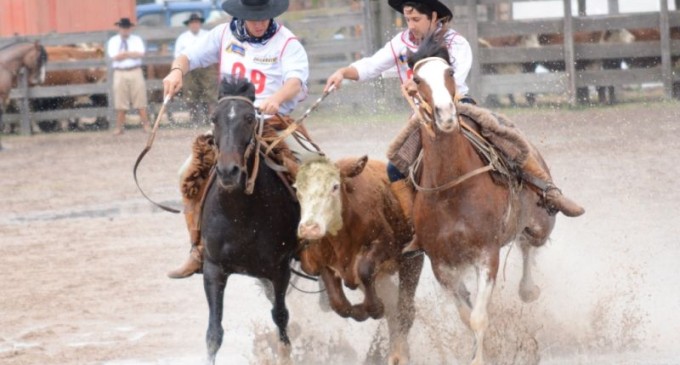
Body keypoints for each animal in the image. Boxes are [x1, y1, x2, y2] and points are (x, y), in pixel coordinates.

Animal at [199, 77, 300, 364]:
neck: (239, 214)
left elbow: (281, 316)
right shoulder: (213, 268)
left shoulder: (280, 268)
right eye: (214, 118)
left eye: (249, 118)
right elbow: (213, 333)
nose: (228, 171)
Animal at [406, 32, 556, 362]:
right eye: (417, 79)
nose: (445, 114)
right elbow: (466, 313)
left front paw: (479, 357)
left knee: (528, 246)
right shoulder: (441, 265)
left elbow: (477, 317)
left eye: (450, 72)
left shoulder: (487, 254)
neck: (450, 189)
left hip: (540, 221)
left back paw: (529, 289)